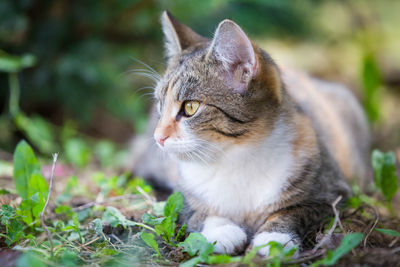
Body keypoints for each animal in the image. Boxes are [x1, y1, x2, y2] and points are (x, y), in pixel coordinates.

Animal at [130, 11, 370, 258]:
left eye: (190, 107)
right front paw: (222, 230)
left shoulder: (331, 190)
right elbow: (194, 212)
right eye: (160, 104)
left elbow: (298, 210)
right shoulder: (182, 193)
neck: (236, 156)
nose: (158, 137)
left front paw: (274, 237)